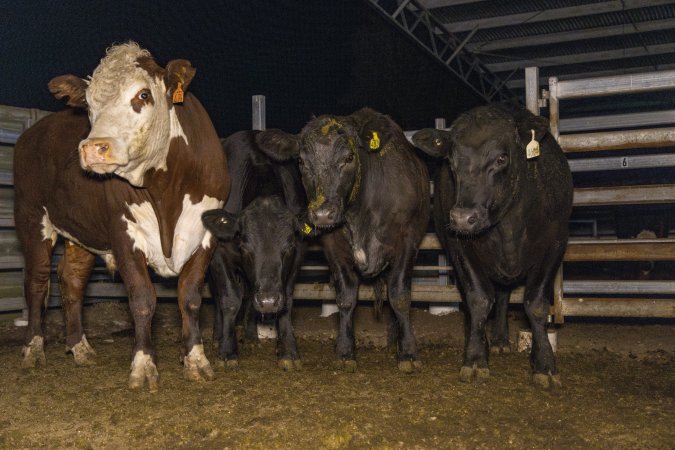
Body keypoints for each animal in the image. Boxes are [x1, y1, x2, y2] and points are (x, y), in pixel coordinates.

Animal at [12, 42, 230, 390]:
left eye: (143, 94)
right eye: (88, 104)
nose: (93, 147)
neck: (166, 190)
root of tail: (33, 133)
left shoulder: (207, 233)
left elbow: (191, 296)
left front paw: (195, 360)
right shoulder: (124, 232)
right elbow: (142, 300)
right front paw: (143, 366)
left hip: (80, 231)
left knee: (72, 280)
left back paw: (80, 348)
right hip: (32, 218)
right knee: (37, 281)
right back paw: (33, 349)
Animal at [201, 130, 306, 370]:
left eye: (288, 246)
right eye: (245, 246)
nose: (267, 302)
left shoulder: (297, 257)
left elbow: (287, 301)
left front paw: (288, 351)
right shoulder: (220, 253)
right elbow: (229, 299)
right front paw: (227, 351)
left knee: (250, 295)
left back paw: (250, 336)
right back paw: (218, 335)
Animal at [256, 107, 430, 370]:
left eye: (348, 158)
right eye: (301, 161)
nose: (322, 213)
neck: (360, 210)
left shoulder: (408, 240)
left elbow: (399, 295)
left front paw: (408, 353)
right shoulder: (334, 246)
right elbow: (346, 297)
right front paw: (346, 351)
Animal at [414, 103, 572, 388]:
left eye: (501, 158)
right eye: (452, 161)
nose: (463, 217)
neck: (508, 226)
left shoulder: (555, 244)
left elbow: (536, 304)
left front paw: (544, 363)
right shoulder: (459, 247)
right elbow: (479, 300)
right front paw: (476, 358)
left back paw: (500, 339)